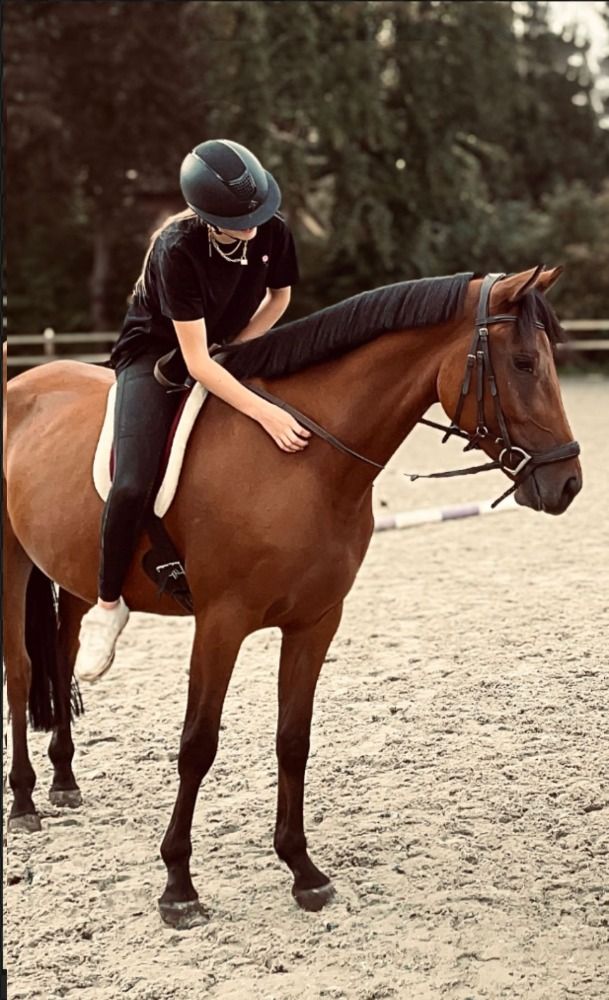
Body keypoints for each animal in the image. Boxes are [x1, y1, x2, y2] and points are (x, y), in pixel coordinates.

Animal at [3, 267, 582, 927]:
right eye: (523, 364)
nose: (568, 483)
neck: (305, 461)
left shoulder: (315, 622)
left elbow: (294, 740)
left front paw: (303, 870)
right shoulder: (221, 623)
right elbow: (198, 744)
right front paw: (179, 886)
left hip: (70, 574)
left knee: (64, 654)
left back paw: (63, 779)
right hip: (13, 561)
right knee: (21, 671)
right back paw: (24, 802)